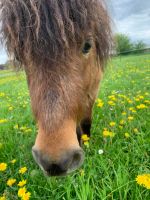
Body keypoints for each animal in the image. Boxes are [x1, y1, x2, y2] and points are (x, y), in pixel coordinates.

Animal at [0, 0, 111, 175]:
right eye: (19, 57)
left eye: (87, 46)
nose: (54, 161)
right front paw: (80, 140)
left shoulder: (92, 93)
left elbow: (86, 121)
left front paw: (87, 142)